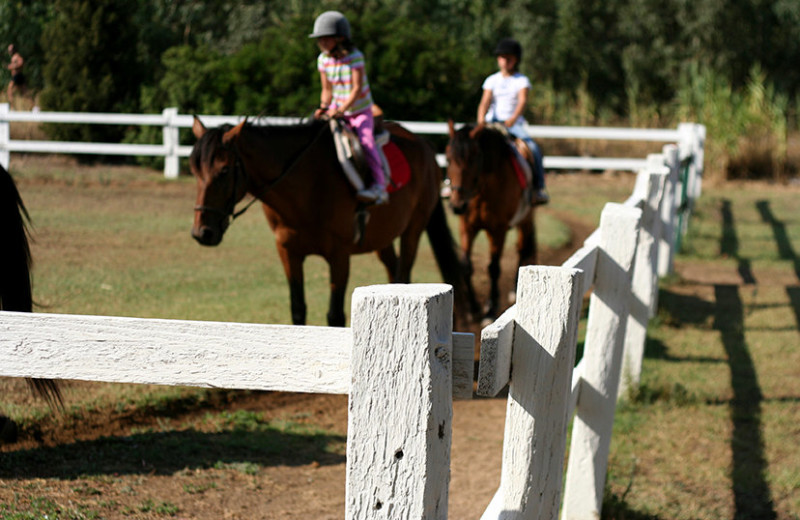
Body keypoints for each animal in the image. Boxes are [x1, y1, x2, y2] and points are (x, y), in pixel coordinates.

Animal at [190, 119, 468, 324]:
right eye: (195, 170)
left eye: (224, 170)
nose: (202, 232)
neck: (306, 186)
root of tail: (424, 144)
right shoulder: (288, 251)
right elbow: (298, 308)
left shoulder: (339, 256)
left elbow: (335, 315)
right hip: (383, 239)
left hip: (413, 229)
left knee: (404, 269)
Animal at [444, 122, 536, 324]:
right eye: (448, 158)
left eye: (473, 159)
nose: (457, 205)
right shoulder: (467, 227)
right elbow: (466, 267)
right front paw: (474, 308)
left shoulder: (498, 230)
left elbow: (494, 268)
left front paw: (491, 309)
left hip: (525, 220)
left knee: (521, 249)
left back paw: (513, 290)